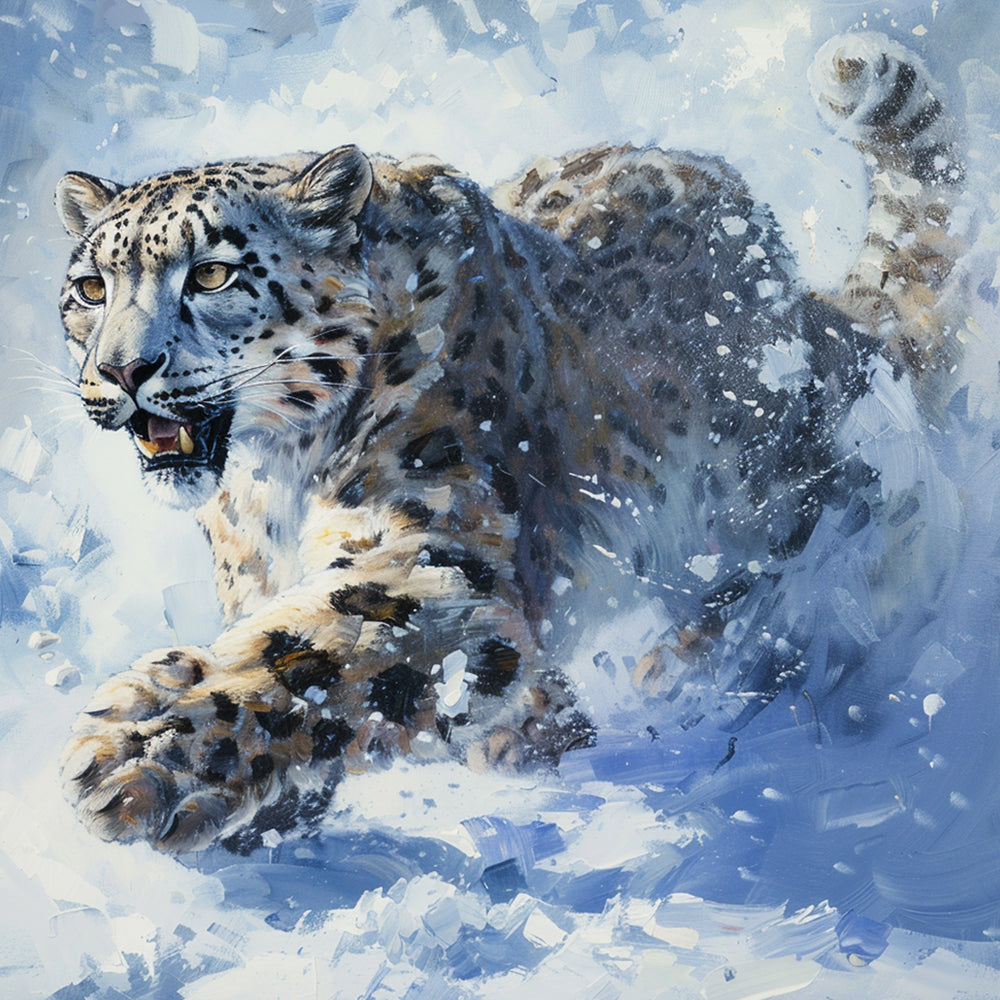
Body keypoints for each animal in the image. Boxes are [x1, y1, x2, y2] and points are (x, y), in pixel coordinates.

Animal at [55, 33, 966, 853]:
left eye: (212, 273)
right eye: (90, 288)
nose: (122, 370)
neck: (268, 480)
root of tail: (817, 311)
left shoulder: (433, 557)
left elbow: (317, 649)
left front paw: (135, 749)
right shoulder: (260, 577)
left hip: (800, 503)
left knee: (795, 590)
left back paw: (706, 671)